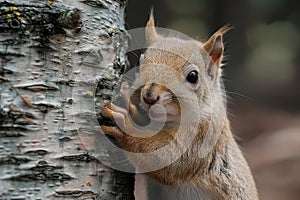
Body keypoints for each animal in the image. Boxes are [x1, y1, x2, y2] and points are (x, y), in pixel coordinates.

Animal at [100, 10, 258, 200]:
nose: (149, 96)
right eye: (140, 62)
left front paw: (125, 125)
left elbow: (167, 160)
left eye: (193, 76)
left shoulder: (203, 138)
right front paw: (128, 102)